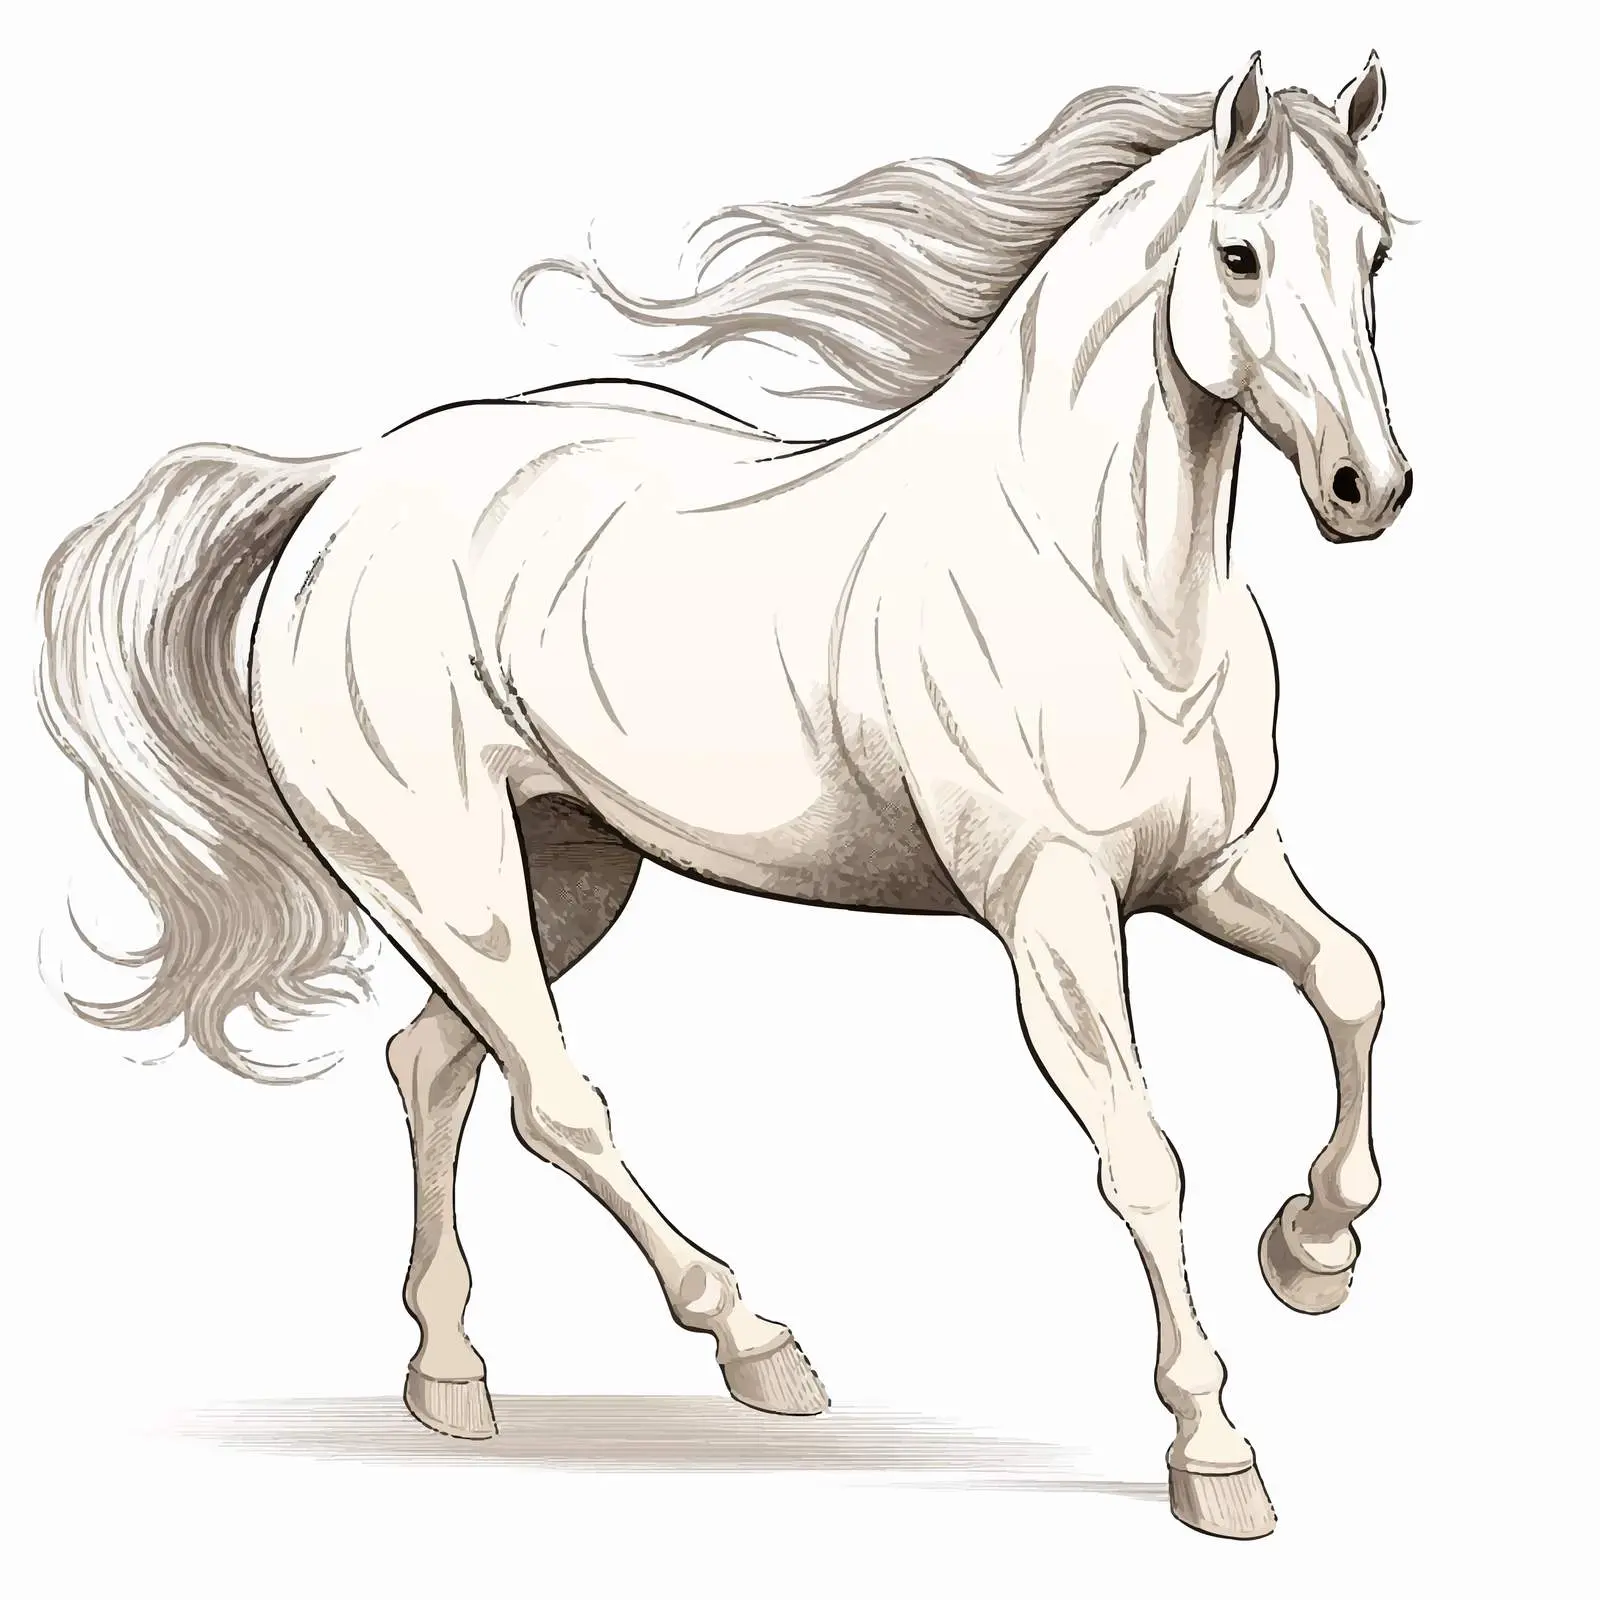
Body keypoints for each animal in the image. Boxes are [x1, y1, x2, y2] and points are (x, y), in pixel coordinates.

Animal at [35, 52, 1412, 1540]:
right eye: (1239, 253)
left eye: (1377, 250)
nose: (1368, 488)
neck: (1099, 584)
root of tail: (337, 491)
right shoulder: (1052, 911)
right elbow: (1144, 1156)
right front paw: (1215, 1454)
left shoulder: (1221, 868)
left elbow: (1351, 980)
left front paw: (1313, 1250)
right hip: (444, 876)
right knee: (553, 1099)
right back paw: (759, 1349)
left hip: (566, 870)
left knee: (435, 1063)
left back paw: (450, 1376)